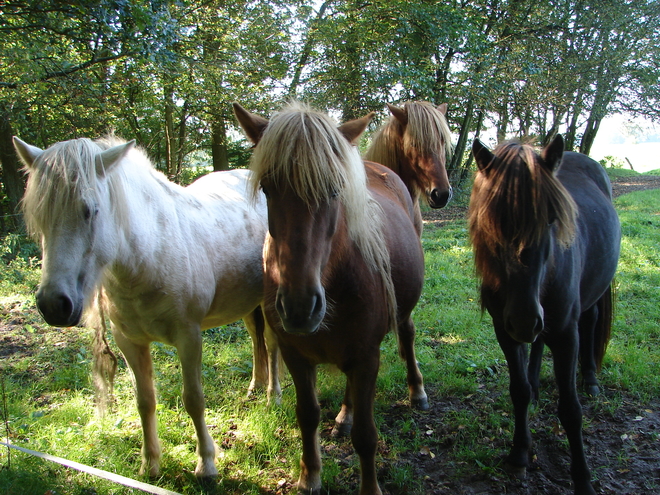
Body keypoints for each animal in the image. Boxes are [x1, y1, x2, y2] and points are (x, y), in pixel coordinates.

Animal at [14, 137, 278, 480]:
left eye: (90, 211)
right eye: (38, 216)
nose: (54, 305)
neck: (148, 256)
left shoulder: (188, 337)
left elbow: (193, 399)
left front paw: (206, 464)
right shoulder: (129, 341)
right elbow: (145, 401)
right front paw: (150, 464)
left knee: (270, 345)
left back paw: (273, 397)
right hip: (246, 305)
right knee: (255, 340)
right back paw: (255, 388)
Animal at [233, 102, 428, 494]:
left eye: (337, 189)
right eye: (267, 188)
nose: (299, 308)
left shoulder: (367, 357)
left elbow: (367, 437)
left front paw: (370, 488)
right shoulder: (296, 355)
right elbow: (307, 416)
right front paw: (309, 476)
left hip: (398, 318)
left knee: (408, 333)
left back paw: (416, 391)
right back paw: (344, 415)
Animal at [470, 134, 620, 494]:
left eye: (552, 219)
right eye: (492, 221)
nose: (525, 318)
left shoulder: (566, 335)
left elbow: (570, 409)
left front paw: (582, 478)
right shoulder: (505, 329)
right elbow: (519, 391)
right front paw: (519, 454)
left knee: (590, 322)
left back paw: (591, 379)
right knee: (537, 345)